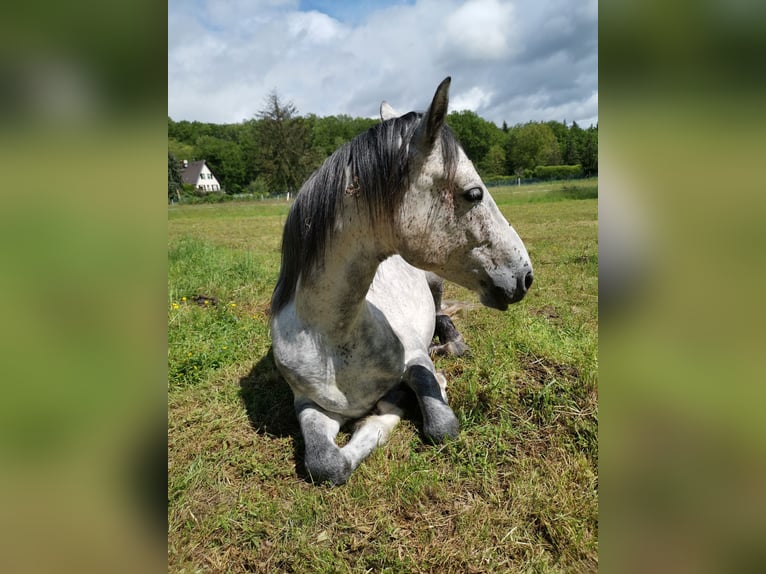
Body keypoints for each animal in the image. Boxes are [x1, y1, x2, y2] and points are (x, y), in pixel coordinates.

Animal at [272, 77, 536, 486]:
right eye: (474, 193)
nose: (525, 275)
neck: (334, 337)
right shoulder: (307, 403)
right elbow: (325, 464)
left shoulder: (415, 358)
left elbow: (441, 425)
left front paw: (398, 404)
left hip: (435, 284)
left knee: (445, 320)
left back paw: (449, 346)